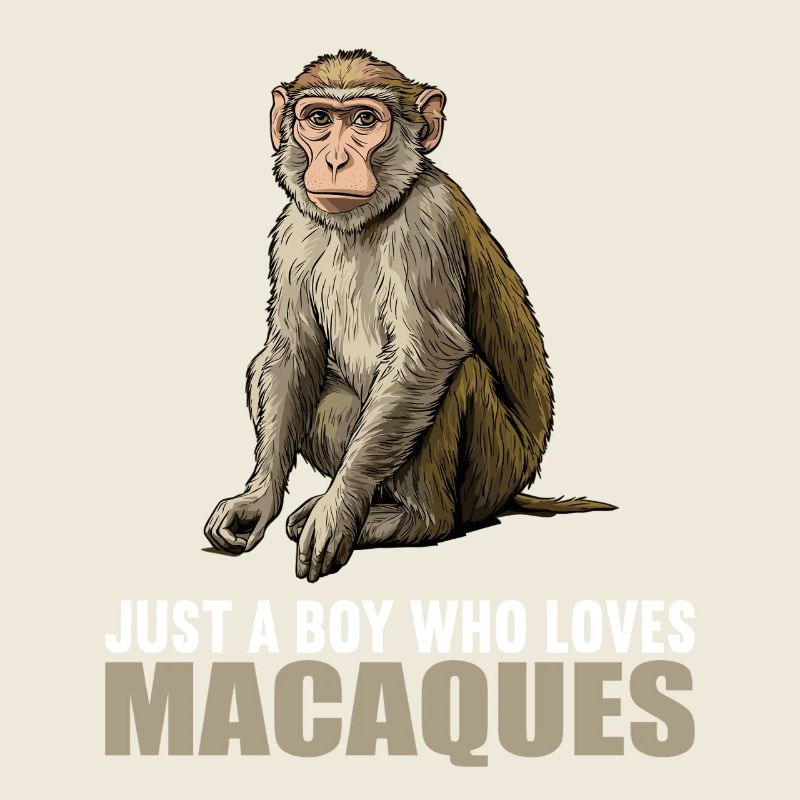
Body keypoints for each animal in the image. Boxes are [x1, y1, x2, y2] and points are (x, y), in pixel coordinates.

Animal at [204, 50, 615, 581]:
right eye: (319, 119)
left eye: (364, 120)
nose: (334, 160)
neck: (365, 219)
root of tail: (512, 488)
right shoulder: (292, 230)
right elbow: (290, 353)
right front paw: (257, 501)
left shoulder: (428, 223)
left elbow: (427, 356)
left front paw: (337, 512)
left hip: (491, 471)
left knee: (457, 375)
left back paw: (414, 520)